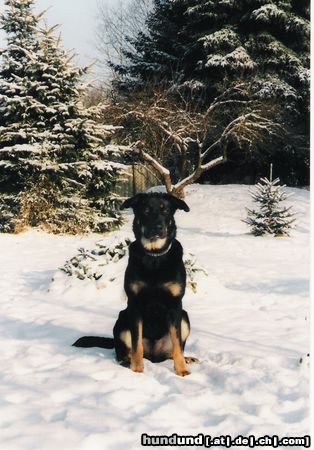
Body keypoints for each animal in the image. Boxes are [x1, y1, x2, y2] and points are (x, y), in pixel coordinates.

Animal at [73, 192, 197, 374]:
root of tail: (154, 357)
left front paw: (181, 370)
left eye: (165, 210)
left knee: (175, 349)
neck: (154, 256)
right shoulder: (135, 305)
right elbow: (136, 342)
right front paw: (137, 370)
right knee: (123, 352)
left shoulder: (175, 306)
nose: (158, 227)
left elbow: (177, 344)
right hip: (122, 319)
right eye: (146, 210)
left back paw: (186, 359)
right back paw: (128, 361)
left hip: (184, 317)